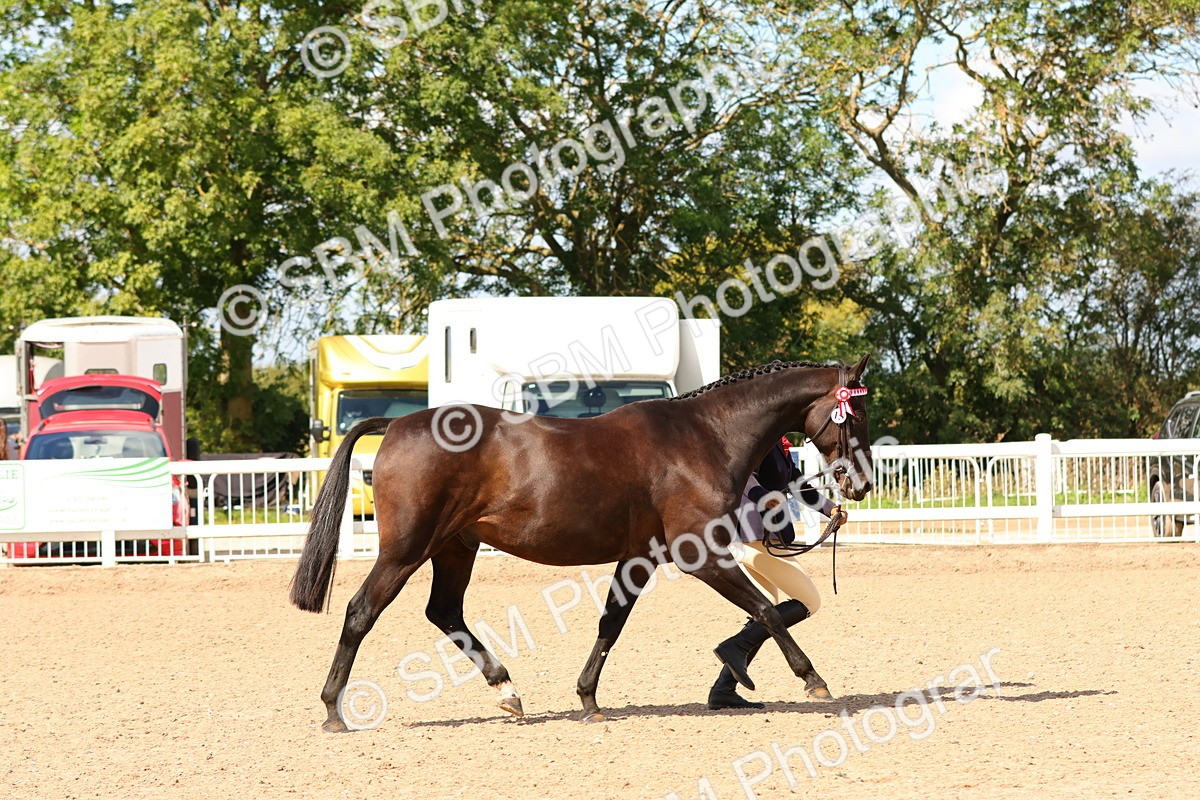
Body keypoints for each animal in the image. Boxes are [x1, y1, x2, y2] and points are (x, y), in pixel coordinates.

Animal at [291, 356, 873, 731]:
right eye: (859, 414)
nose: (860, 484)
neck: (702, 435)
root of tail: (397, 425)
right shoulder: (700, 554)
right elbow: (767, 611)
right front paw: (813, 680)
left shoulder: (639, 557)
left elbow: (611, 623)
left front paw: (588, 699)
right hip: (406, 551)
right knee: (361, 611)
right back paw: (332, 710)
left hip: (455, 548)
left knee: (444, 611)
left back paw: (508, 691)